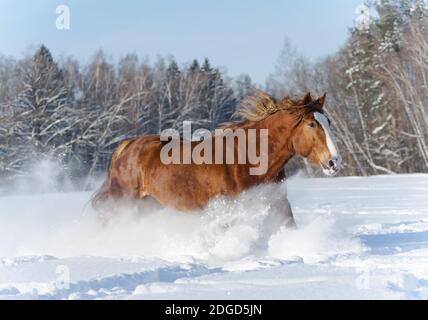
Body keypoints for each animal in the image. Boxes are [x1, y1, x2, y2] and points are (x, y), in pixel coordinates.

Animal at [93, 91, 342, 229]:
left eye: (328, 121)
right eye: (312, 124)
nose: (334, 162)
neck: (250, 159)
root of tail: (126, 147)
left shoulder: (277, 201)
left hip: (148, 205)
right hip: (124, 203)